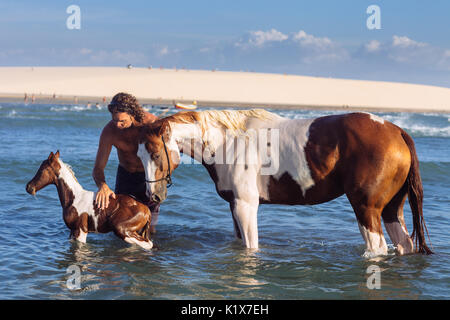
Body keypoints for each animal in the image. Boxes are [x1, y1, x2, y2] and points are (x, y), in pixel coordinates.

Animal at [25, 151, 153, 250]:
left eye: (43, 170)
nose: (29, 187)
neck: (74, 198)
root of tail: (146, 210)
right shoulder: (72, 231)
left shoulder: (81, 230)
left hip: (122, 229)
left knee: (147, 244)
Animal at [137, 109, 432, 256]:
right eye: (138, 155)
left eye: (155, 153)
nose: (152, 195)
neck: (229, 141)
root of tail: (397, 131)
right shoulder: (234, 206)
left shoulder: (246, 206)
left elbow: (251, 248)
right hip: (391, 210)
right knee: (404, 245)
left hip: (366, 209)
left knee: (378, 249)